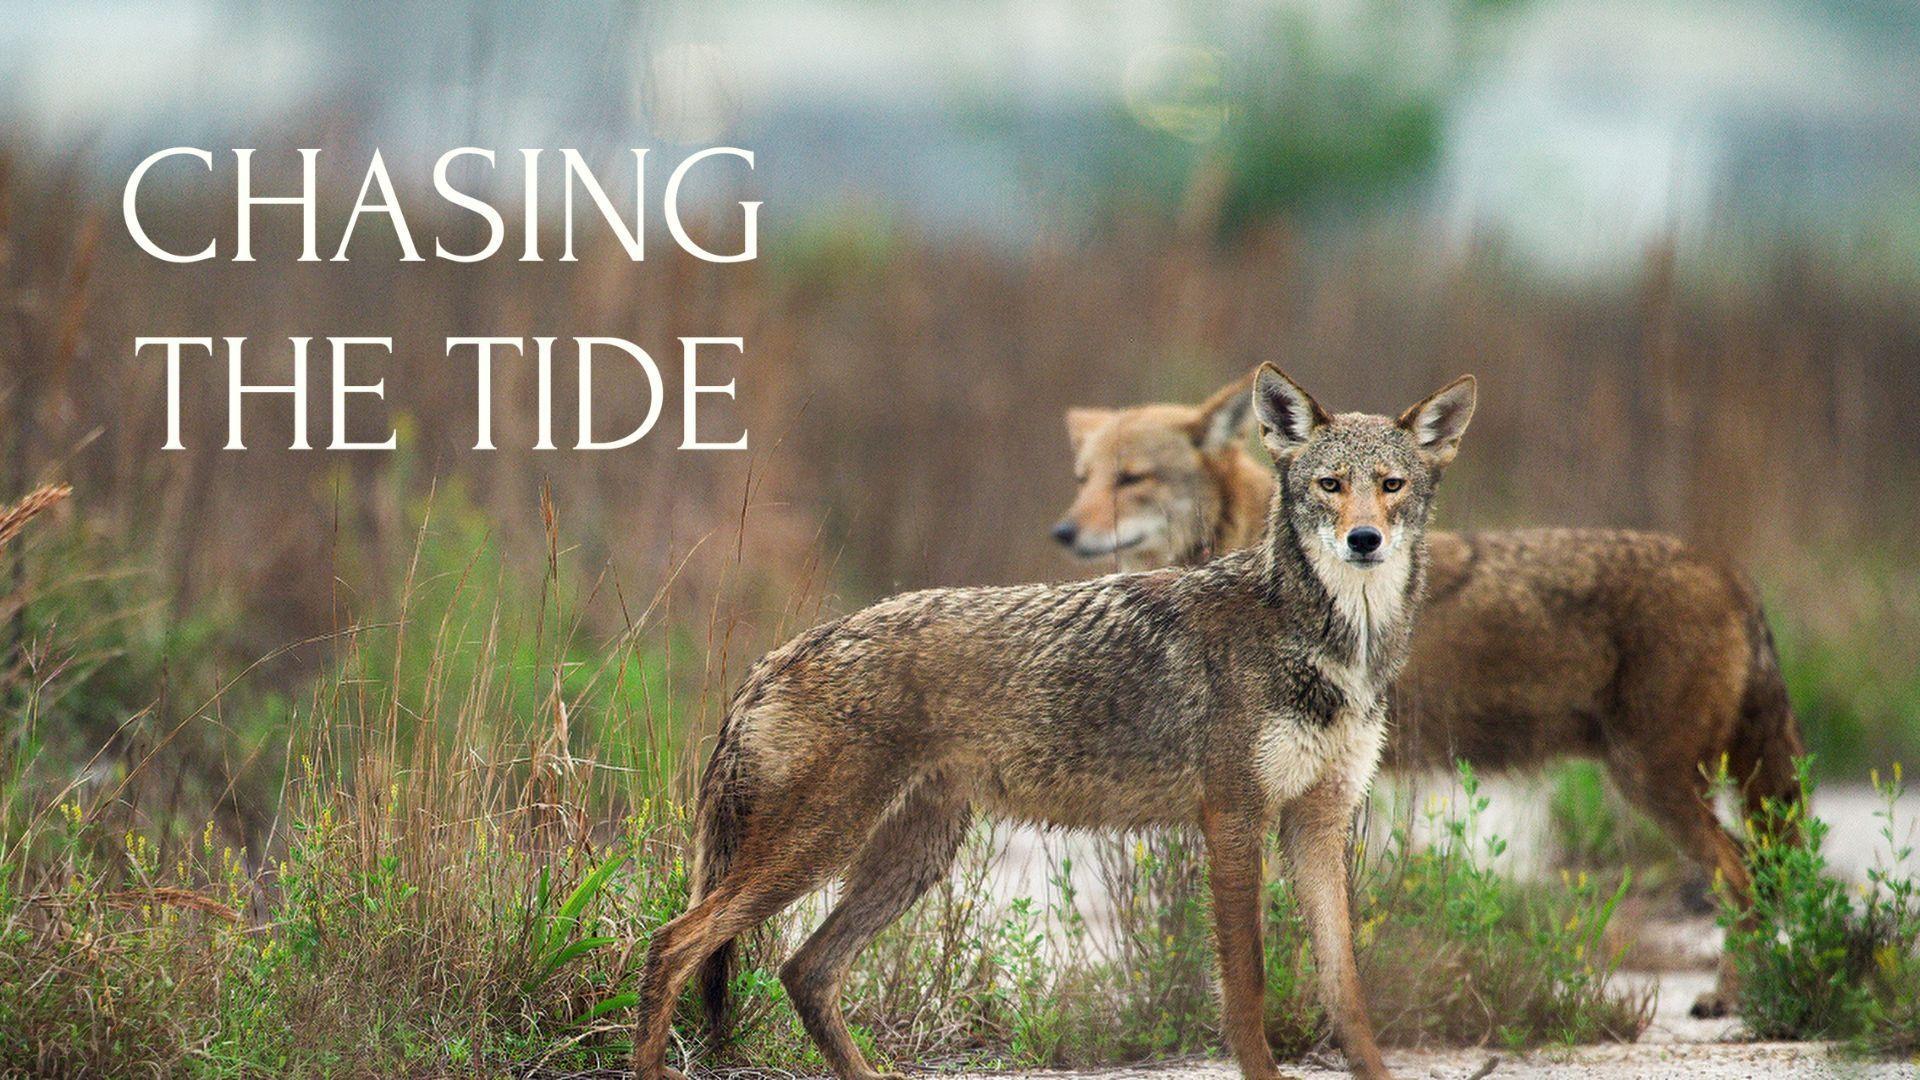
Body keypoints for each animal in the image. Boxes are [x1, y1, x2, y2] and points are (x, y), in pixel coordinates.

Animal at [630, 367, 1477, 1080]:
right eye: (1330, 485)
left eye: (1391, 486)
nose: (1363, 540)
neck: (1335, 645)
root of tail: (773, 658)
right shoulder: (1235, 817)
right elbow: (1248, 986)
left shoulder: (1317, 823)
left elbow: (1346, 990)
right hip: (818, 851)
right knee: (674, 944)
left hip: (909, 857)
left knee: (803, 970)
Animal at [1054, 371, 1805, 1017]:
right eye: (1084, 480)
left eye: (1133, 479)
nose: (1064, 531)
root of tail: (1730, 571)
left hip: (1652, 781)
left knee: (1743, 875)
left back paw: (1731, 998)